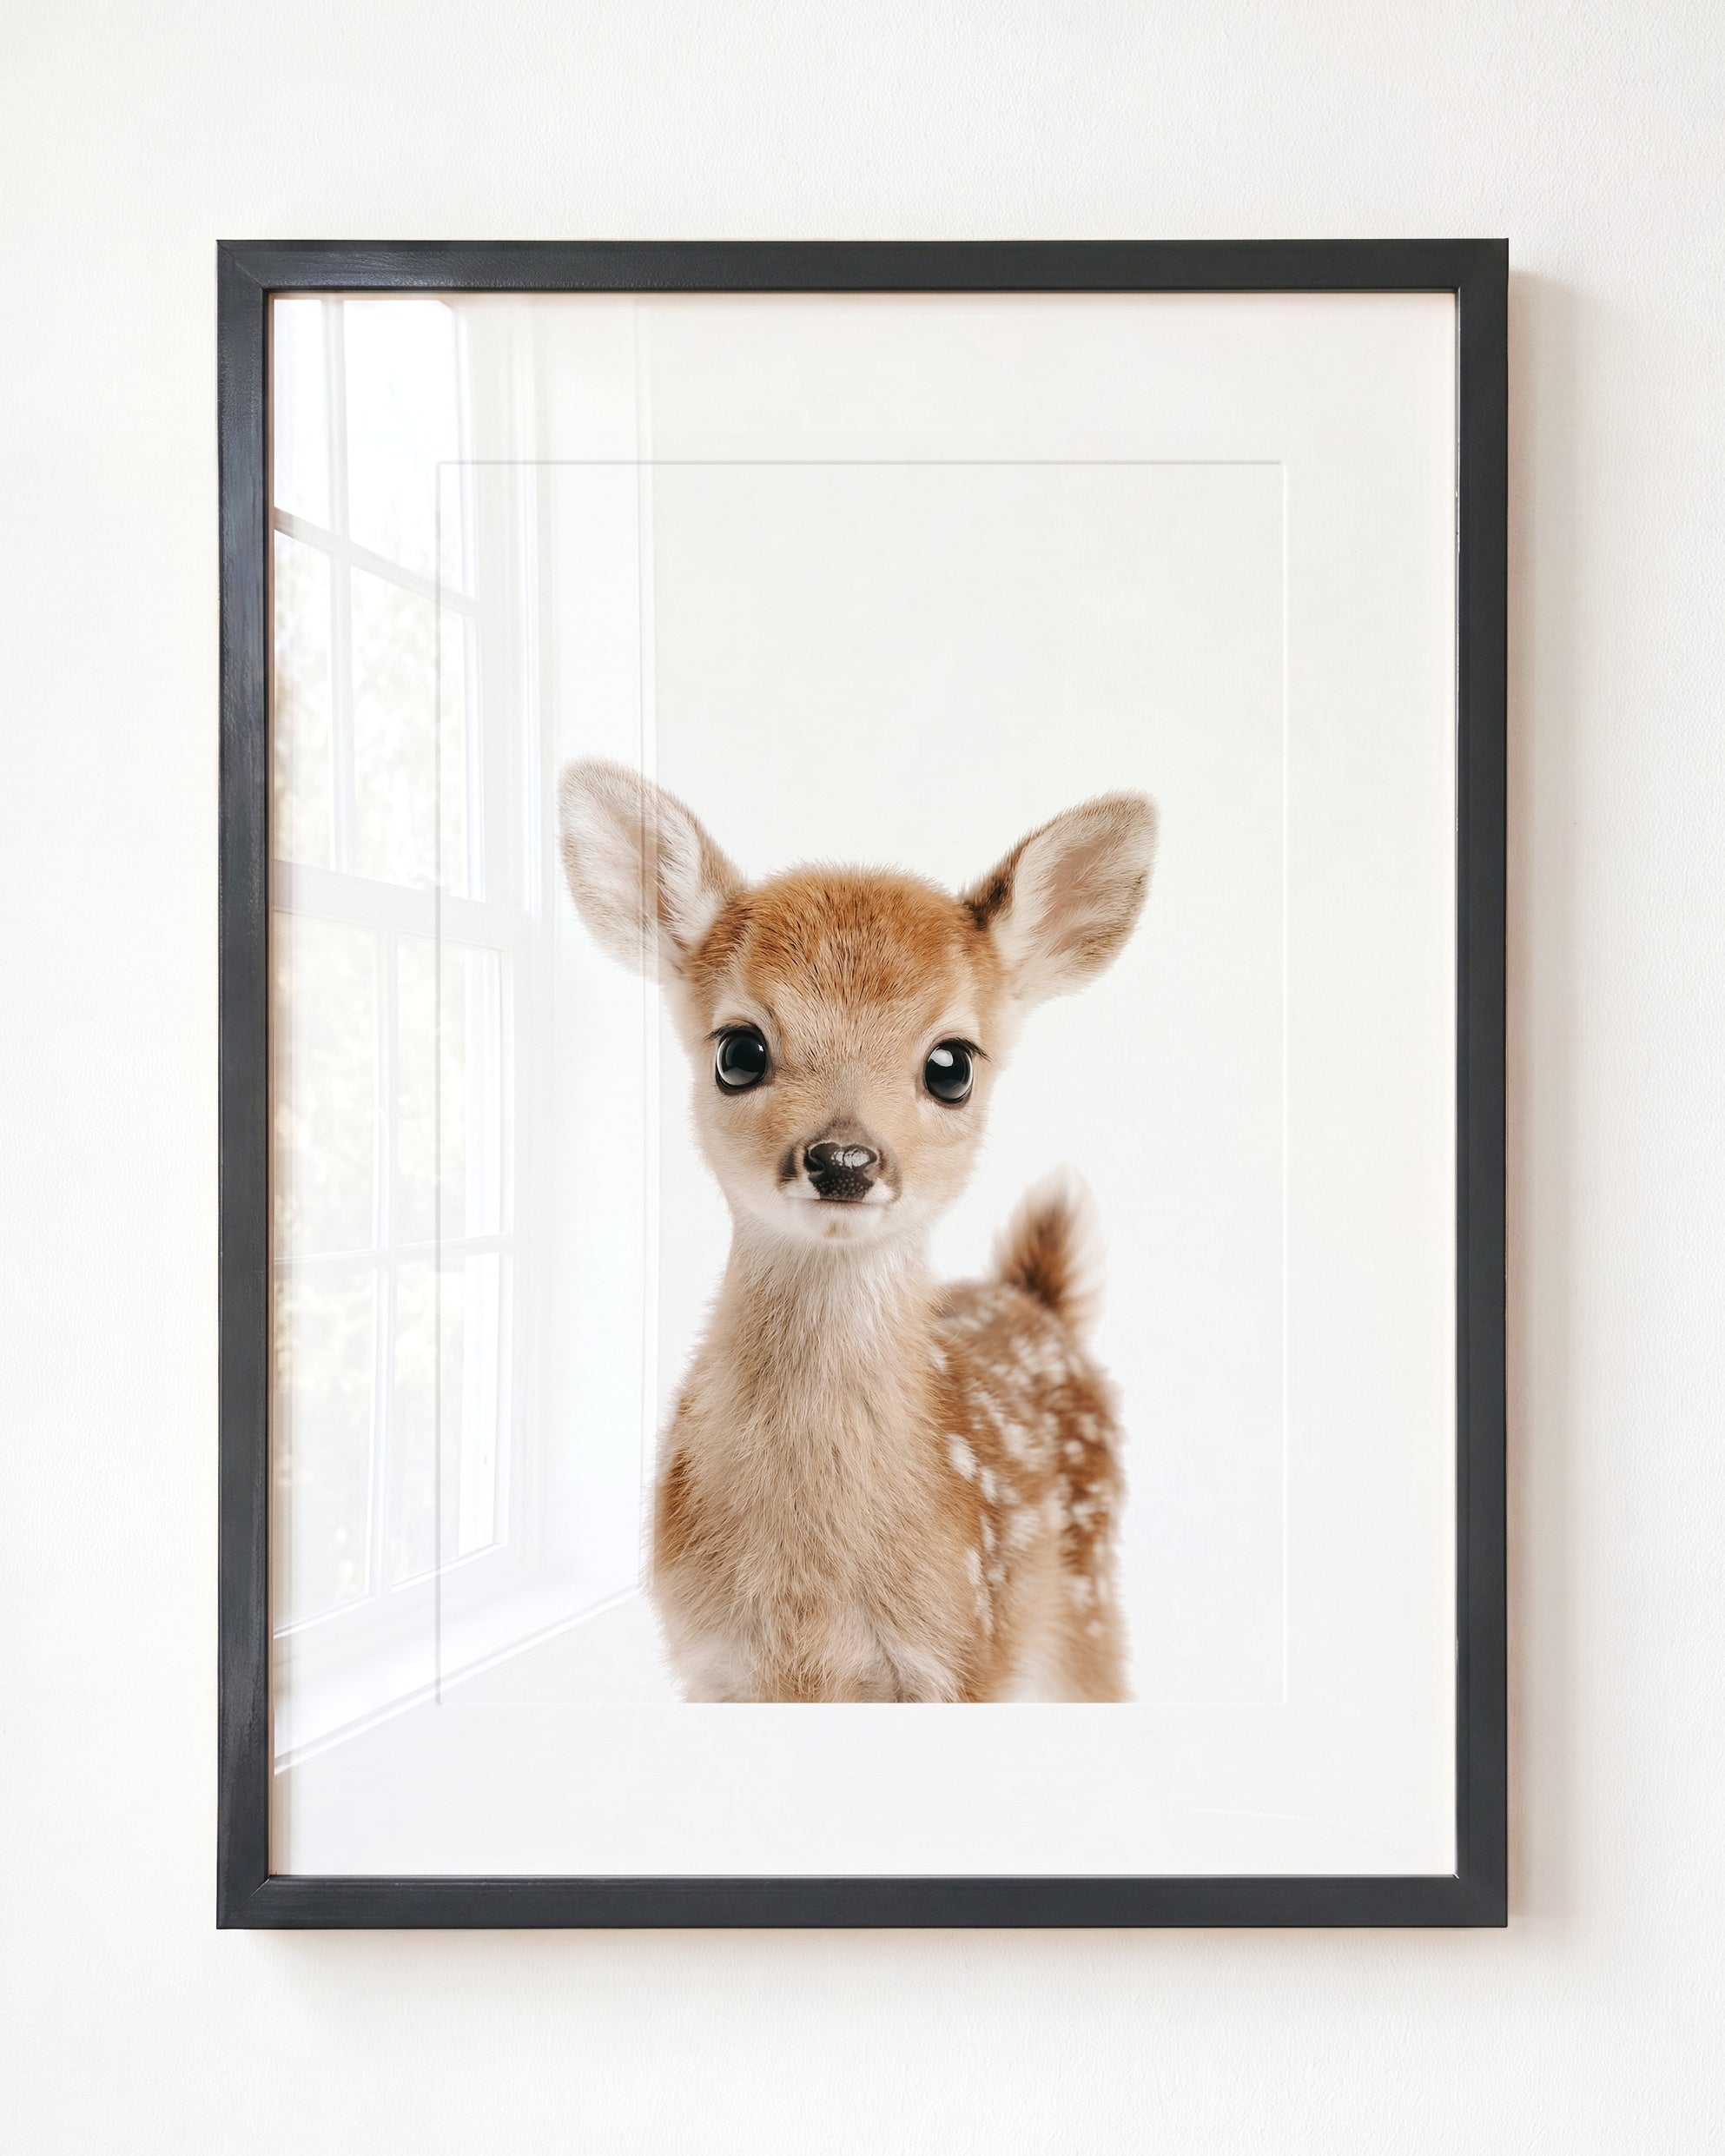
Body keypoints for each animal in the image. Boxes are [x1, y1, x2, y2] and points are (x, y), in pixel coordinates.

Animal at [557, 759, 1157, 1702]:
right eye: (738, 1051)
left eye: (952, 1065)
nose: (843, 1158)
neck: (811, 1603)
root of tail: (1038, 1299)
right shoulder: (711, 1664)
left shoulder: (961, 1653)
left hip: (1086, 1604)